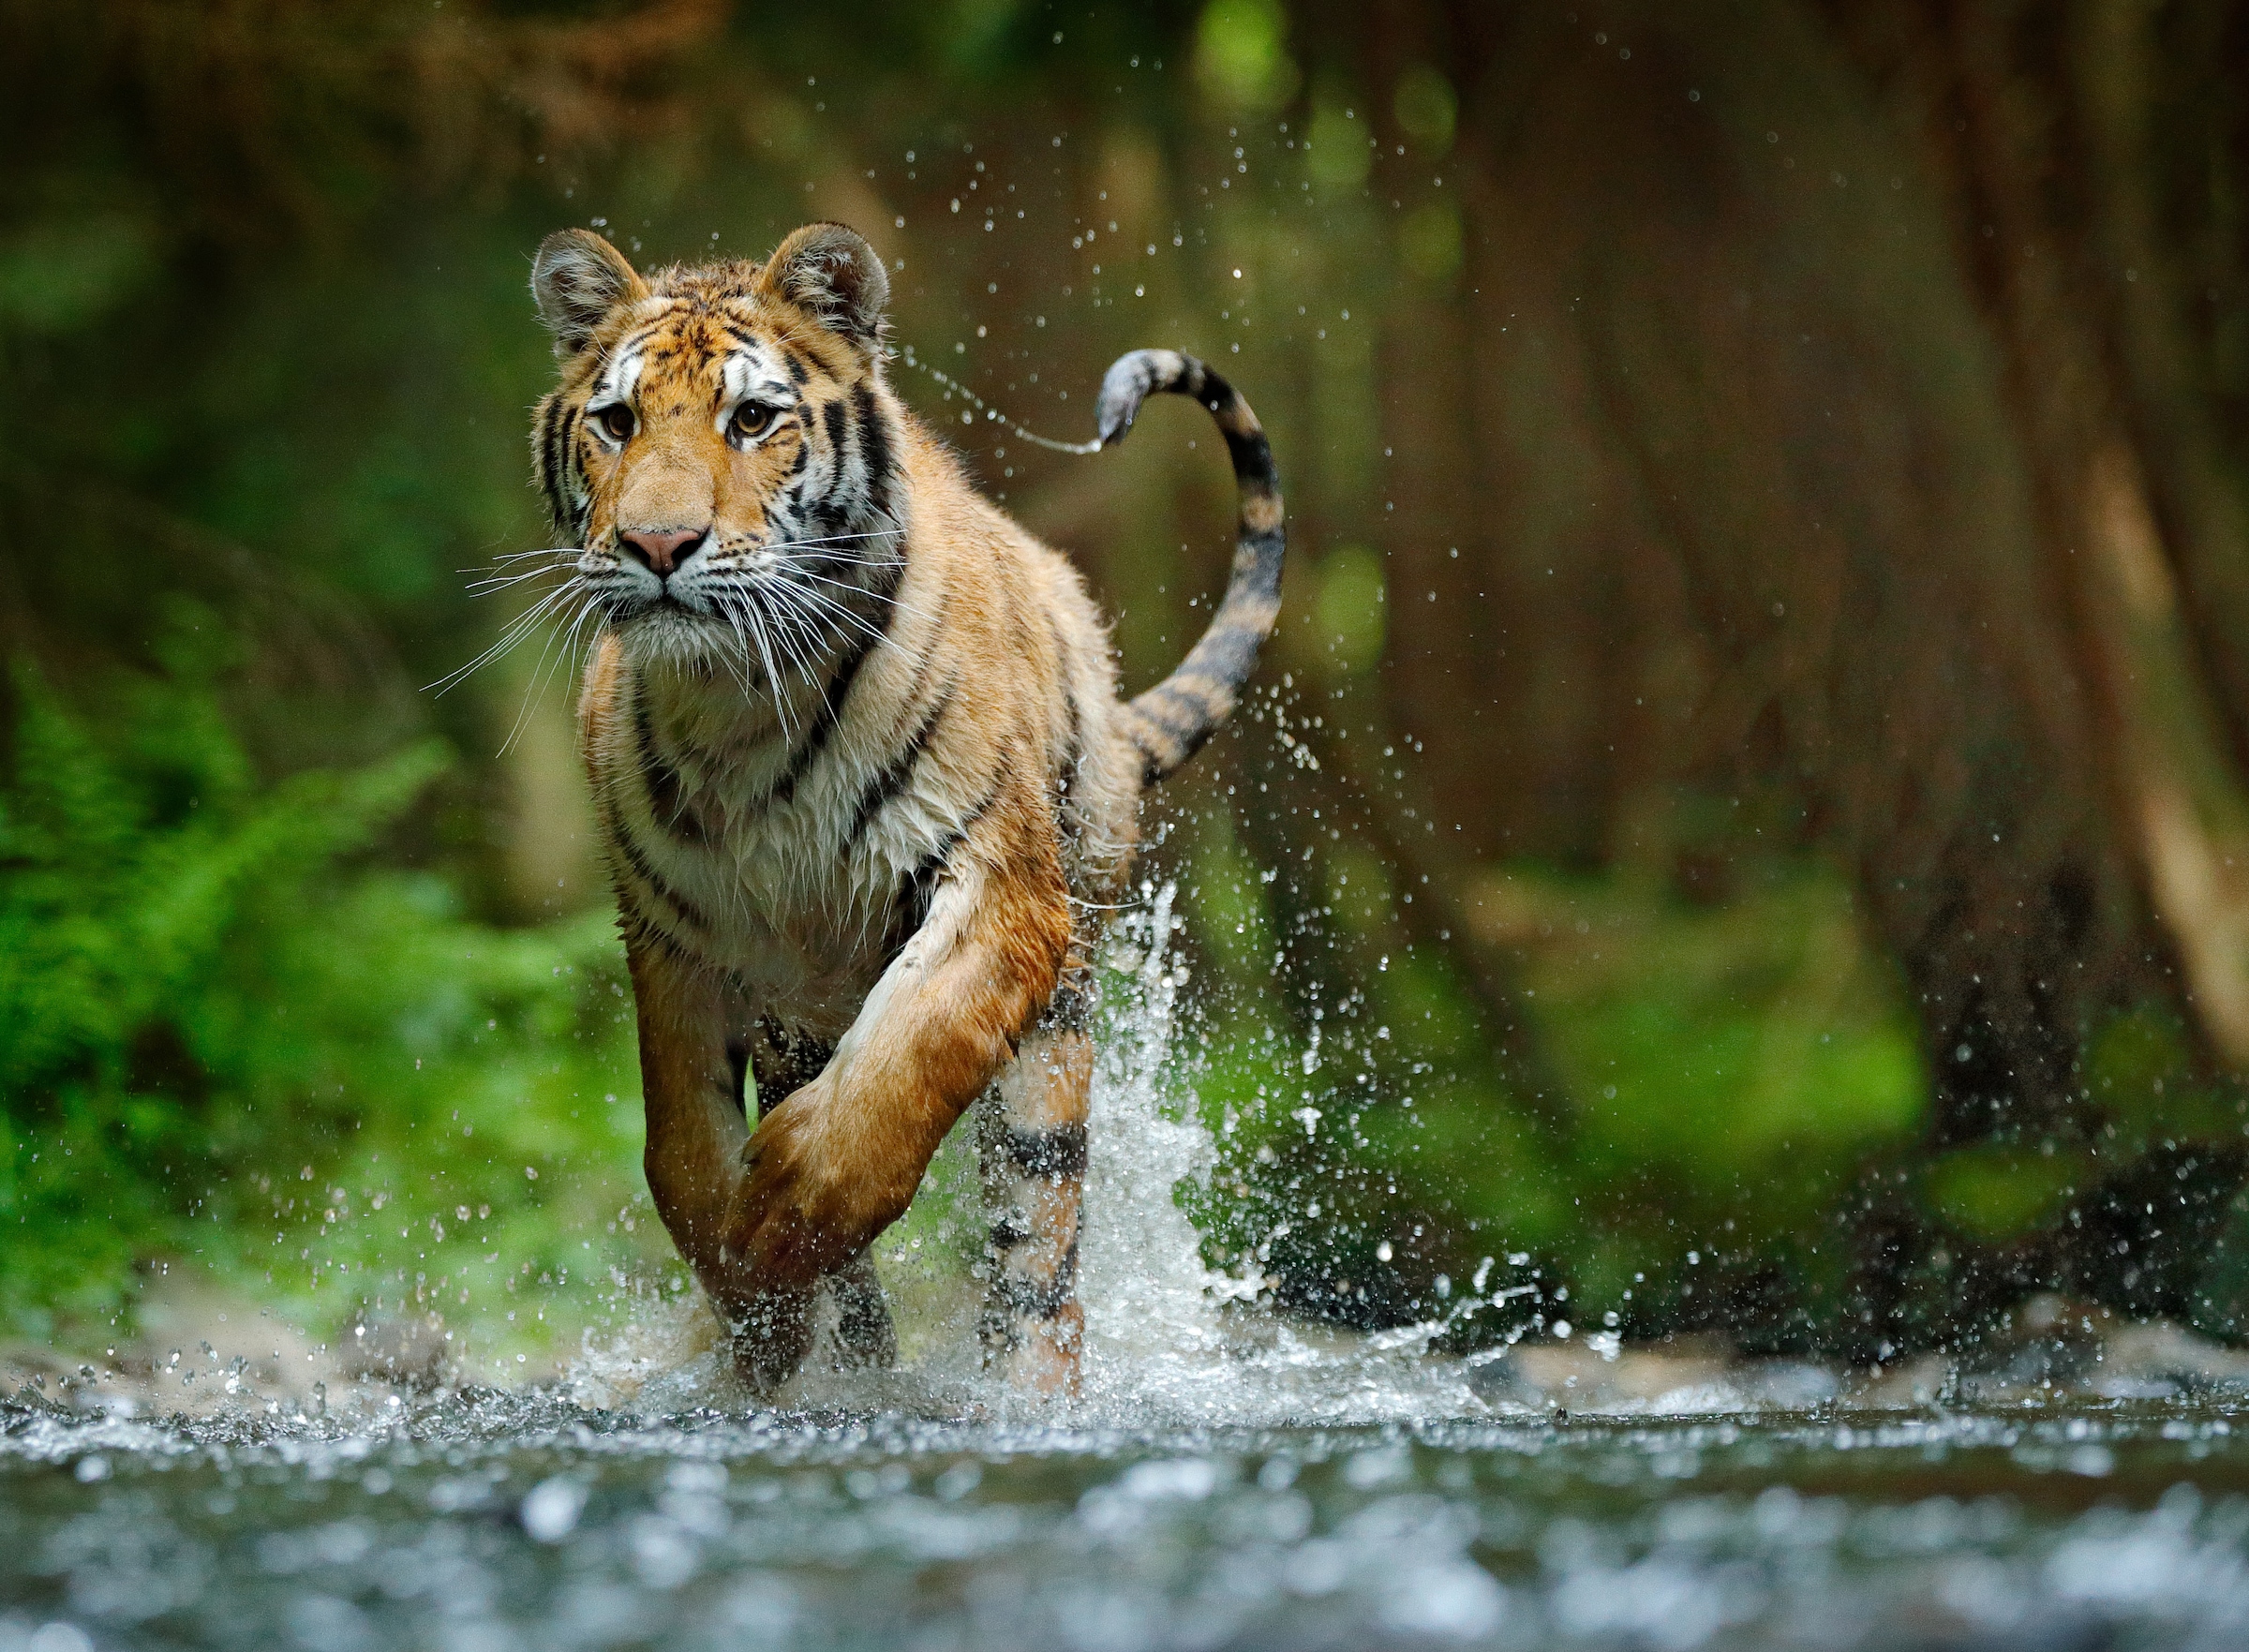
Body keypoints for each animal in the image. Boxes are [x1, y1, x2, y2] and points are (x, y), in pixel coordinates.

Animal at [521, 222, 1286, 1393]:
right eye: (617, 422)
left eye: (753, 419)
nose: (657, 547)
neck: (737, 708)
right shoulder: (671, 929)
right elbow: (681, 1148)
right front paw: (754, 1301)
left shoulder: (1001, 891)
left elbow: (902, 1067)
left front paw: (781, 1213)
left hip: (1058, 1027)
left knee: (1038, 1257)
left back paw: (1025, 1392)